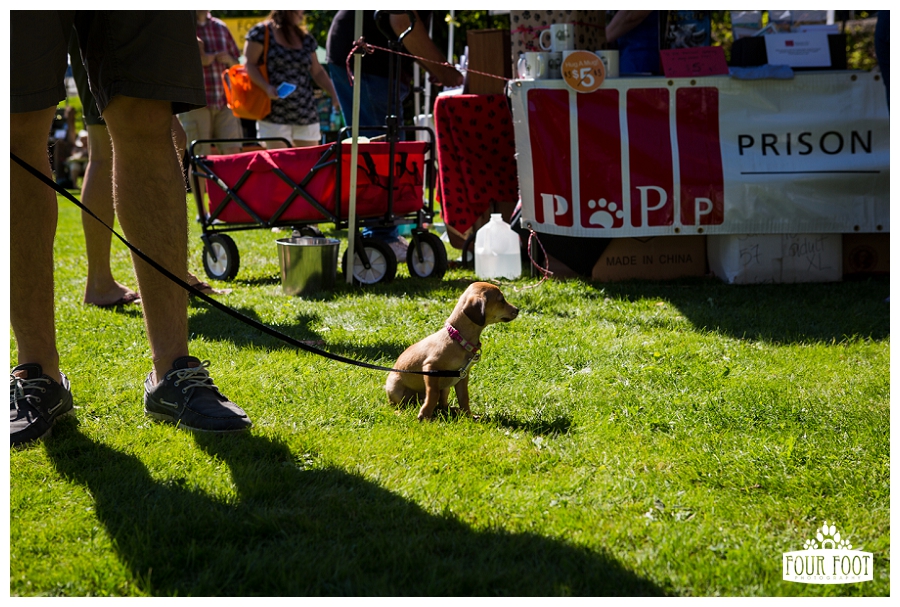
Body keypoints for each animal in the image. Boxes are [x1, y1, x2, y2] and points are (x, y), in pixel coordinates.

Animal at [385, 282, 519, 421]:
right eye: (501, 300)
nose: (517, 310)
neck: (458, 339)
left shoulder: (462, 376)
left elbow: (464, 397)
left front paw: (469, 415)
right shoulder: (430, 368)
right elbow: (433, 394)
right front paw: (425, 415)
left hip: (446, 387)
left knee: (442, 405)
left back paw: (454, 410)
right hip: (396, 389)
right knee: (398, 405)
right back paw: (401, 413)